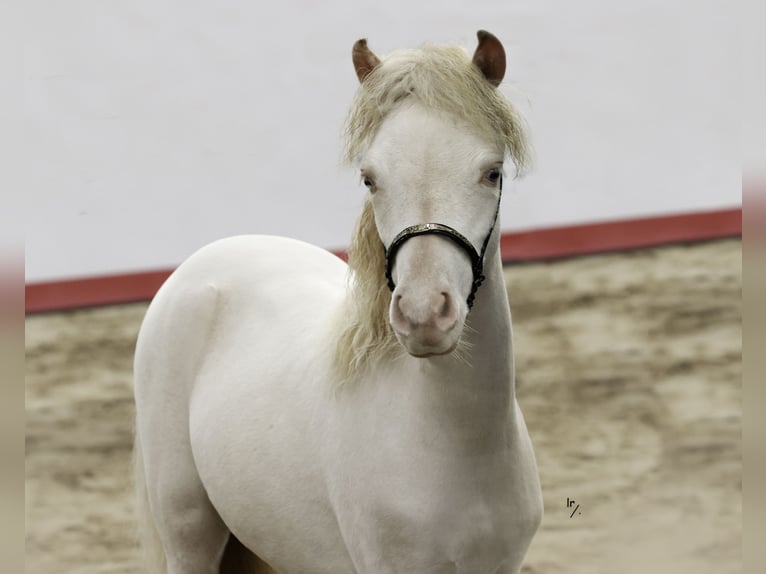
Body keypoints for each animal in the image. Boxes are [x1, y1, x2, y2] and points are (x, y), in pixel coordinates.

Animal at [136, 30, 544, 574]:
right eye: (370, 178)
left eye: (492, 173)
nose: (423, 315)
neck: (454, 443)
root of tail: (210, 257)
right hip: (187, 529)